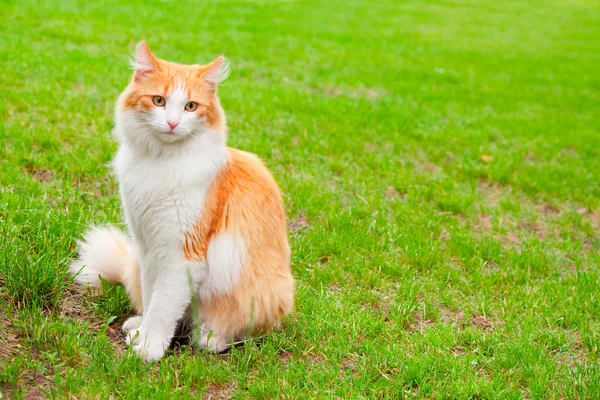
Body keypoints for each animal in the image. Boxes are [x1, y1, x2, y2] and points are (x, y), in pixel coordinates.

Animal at [69, 42, 294, 360]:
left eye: (191, 106)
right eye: (159, 101)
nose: (173, 123)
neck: (162, 161)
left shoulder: (182, 254)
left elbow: (163, 308)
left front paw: (149, 347)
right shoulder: (149, 247)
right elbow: (152, 297)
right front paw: (144, 333)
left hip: (262, 290)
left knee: (239, 332)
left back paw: (210, 338)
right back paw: (140, 324)